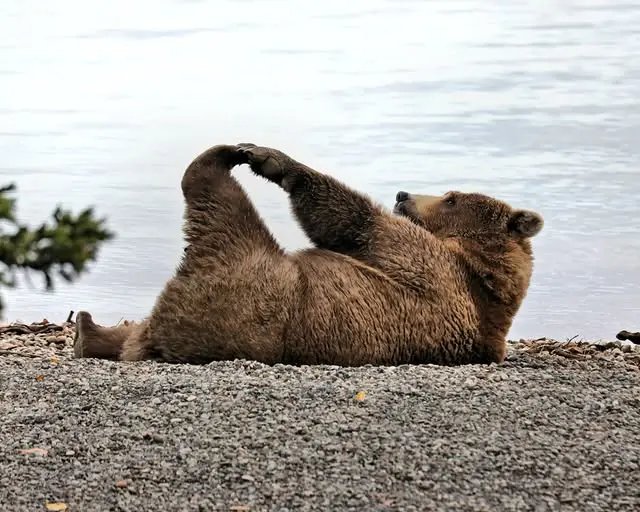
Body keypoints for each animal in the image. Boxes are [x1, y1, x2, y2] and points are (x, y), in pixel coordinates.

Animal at [73, 142, 544, 366]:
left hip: (244, 284)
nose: (403, 194)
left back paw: (220, 157)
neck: (485, 281)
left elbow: (357, 224)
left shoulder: (433, 269)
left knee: (219, 207)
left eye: (450, 198)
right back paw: (88, 330)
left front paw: (272, 160)